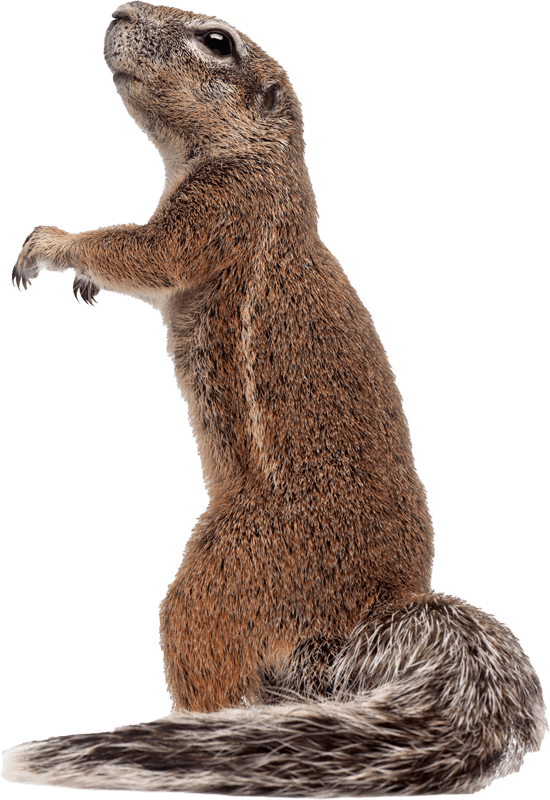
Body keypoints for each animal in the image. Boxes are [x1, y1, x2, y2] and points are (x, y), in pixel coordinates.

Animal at [3, 1, 547, 796]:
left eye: (217, 41)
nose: (119, 11)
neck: (263, 159)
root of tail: (351, 629)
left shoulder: (220, 210)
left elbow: (144, 251)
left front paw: (55, 244)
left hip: (224, 577)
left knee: (215, 673)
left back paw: (189, 730)